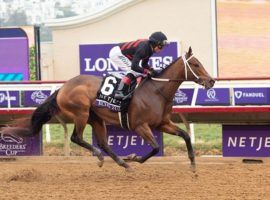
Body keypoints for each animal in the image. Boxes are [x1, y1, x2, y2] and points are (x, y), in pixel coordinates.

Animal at [0, 47, 215, 170]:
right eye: (195, 64)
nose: (211, 81)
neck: (157, 90)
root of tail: (63, 87)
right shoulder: (140, 126)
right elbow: (154, 148)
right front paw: (134, 157)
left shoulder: (162, 123)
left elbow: (185, 136)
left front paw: (193, 165)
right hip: (81, 113)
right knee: (76, 138)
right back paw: (102, 157)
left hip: (96, 118)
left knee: (104, 143)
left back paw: (122, 163)